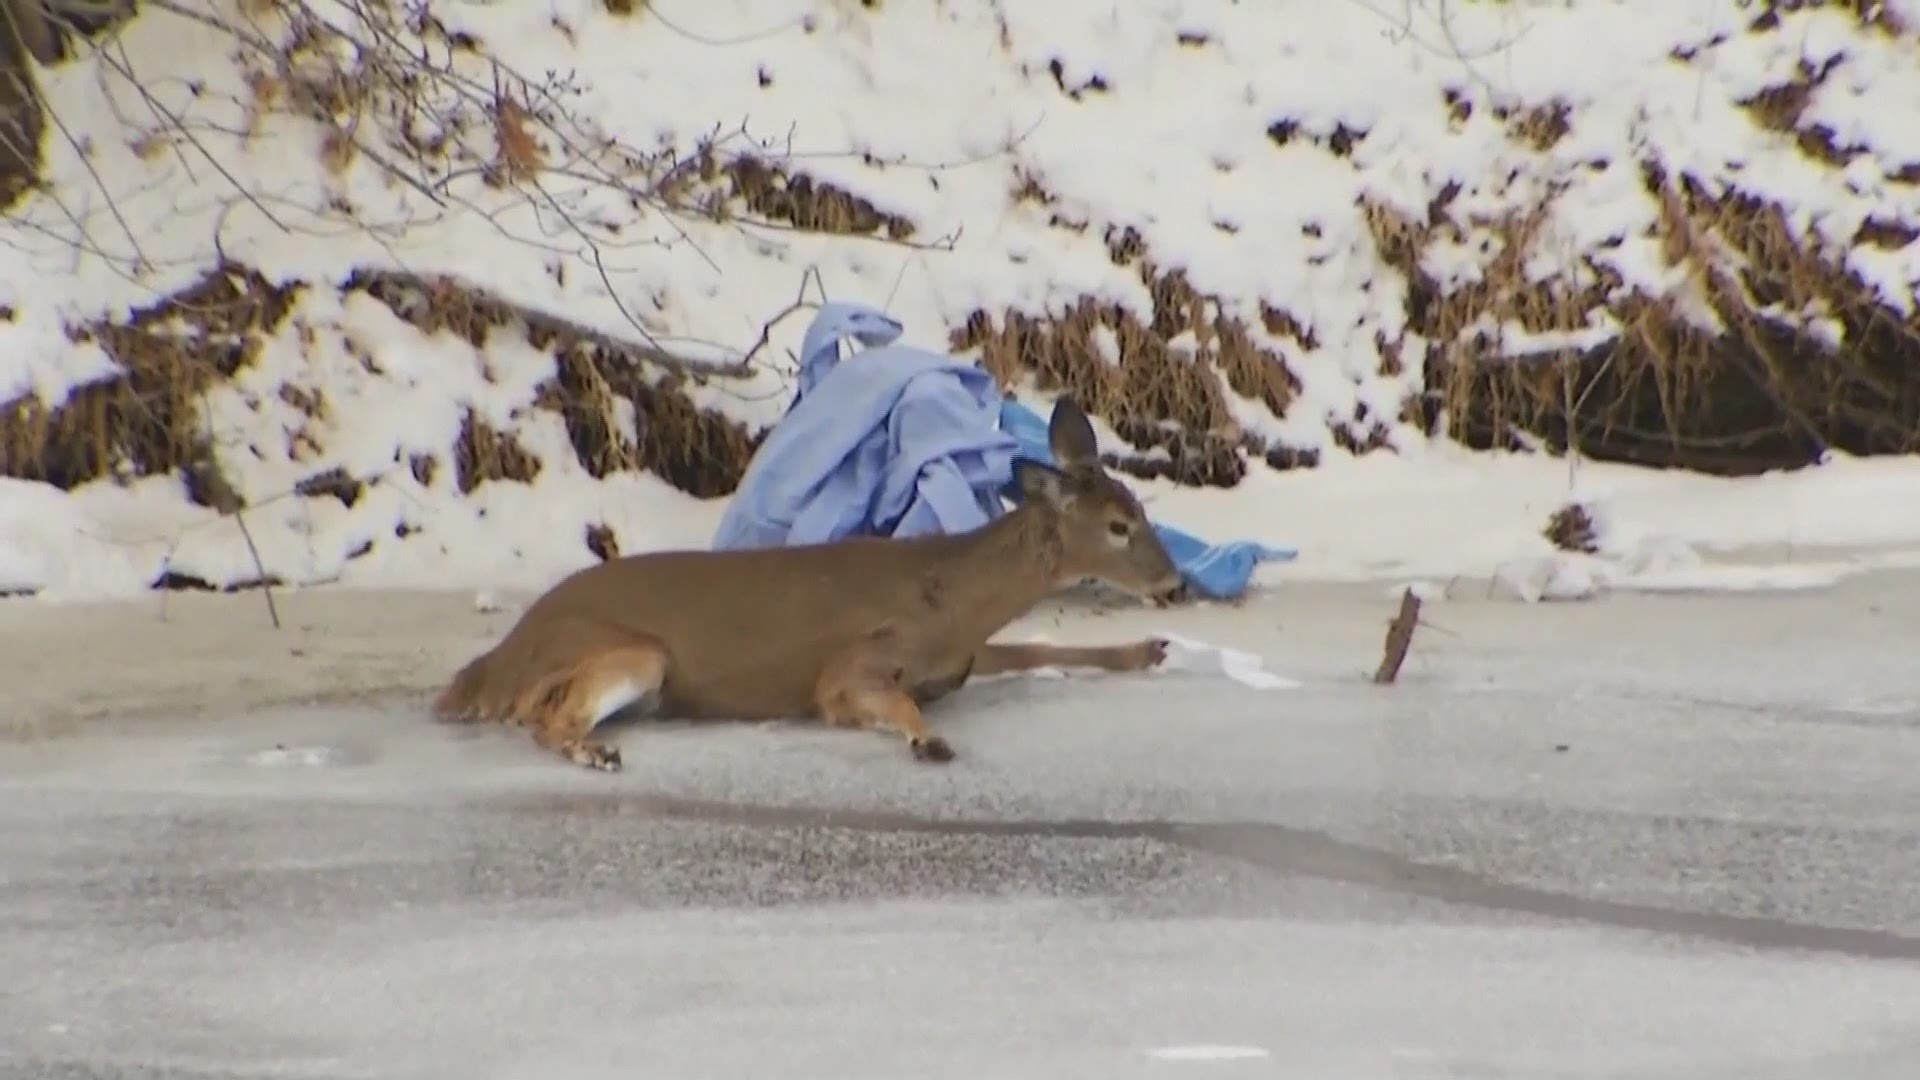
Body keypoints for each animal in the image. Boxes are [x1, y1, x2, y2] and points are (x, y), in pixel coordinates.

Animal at [431, 396, 1186, 771]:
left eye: (1141, 509)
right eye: (1119, 525)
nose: (1176, 583)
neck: (952, 600)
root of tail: (487, 666)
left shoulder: (965, 654)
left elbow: (1037, 648)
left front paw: (1149, 649)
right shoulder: (852, 665)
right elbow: (881, 700)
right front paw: (928, 741)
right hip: (631, 652)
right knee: (544, 717)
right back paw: (597, 751)